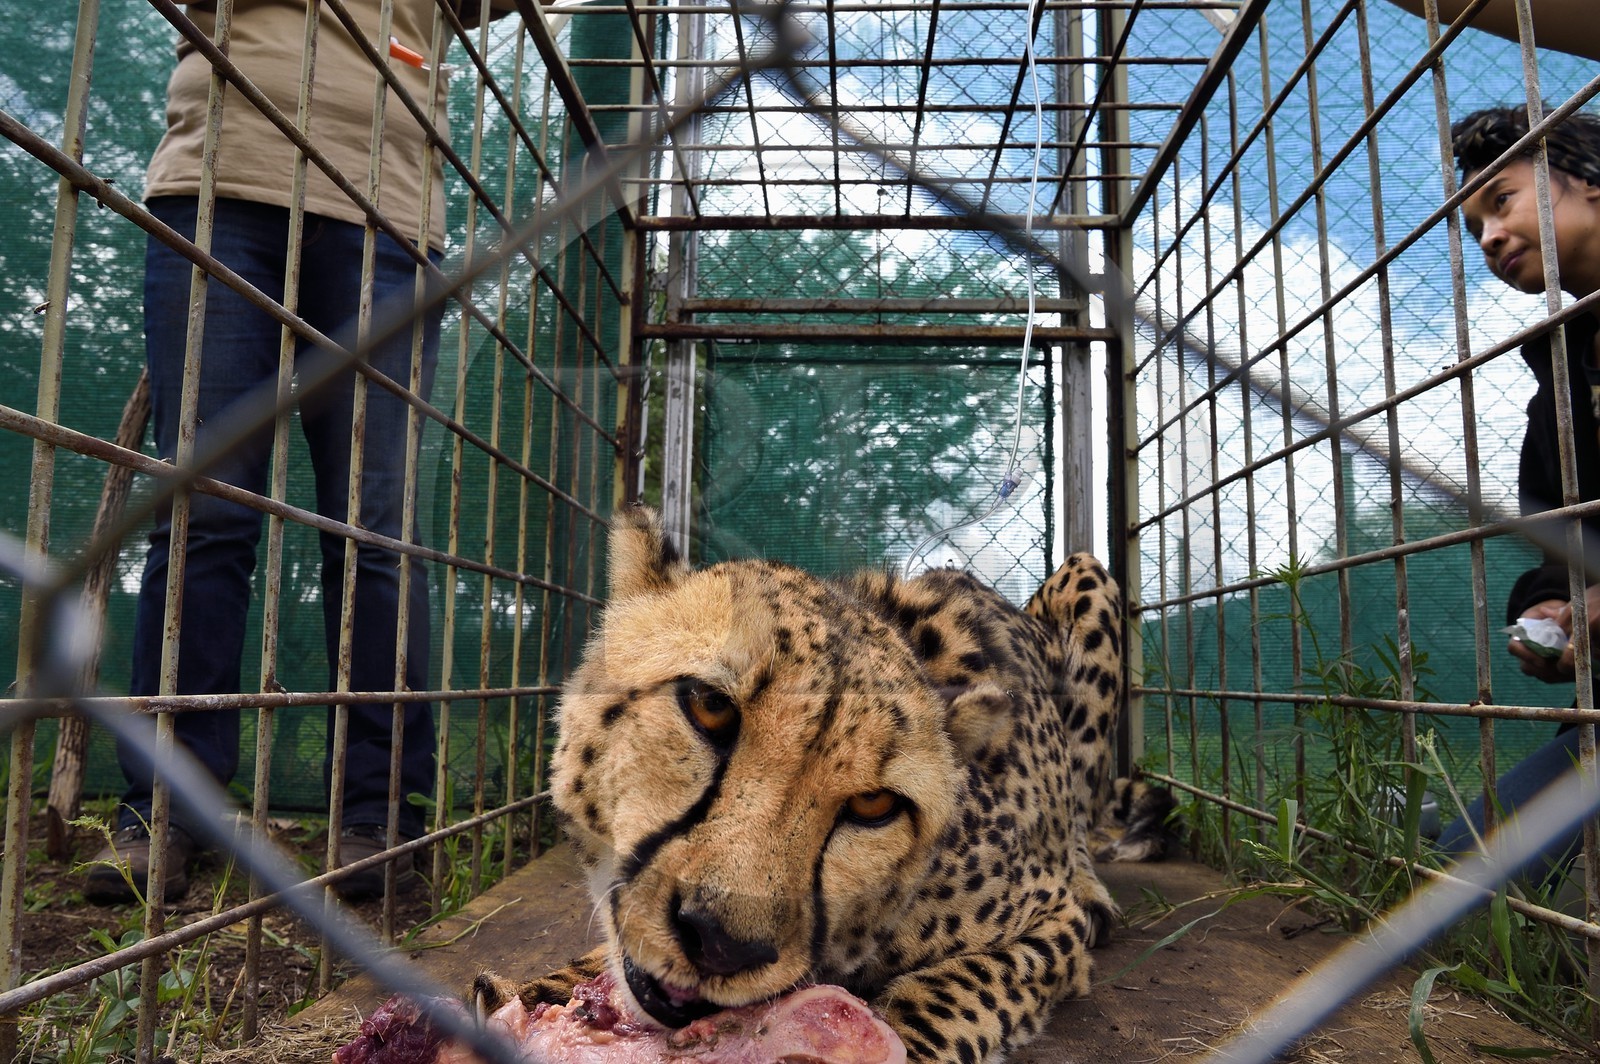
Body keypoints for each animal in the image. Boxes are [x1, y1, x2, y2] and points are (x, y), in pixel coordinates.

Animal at [473, 506, 1174, 1062]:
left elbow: (951, 991)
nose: (722, 945)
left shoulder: (1052, 922)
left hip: (1088, 574)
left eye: (875, 804)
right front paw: (542, 991)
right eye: (709, 705)